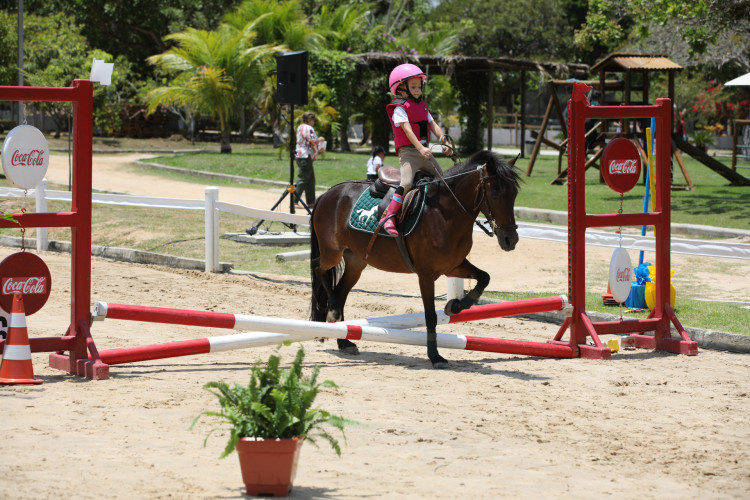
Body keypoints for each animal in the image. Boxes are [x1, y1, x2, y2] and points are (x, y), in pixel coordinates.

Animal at [308, 150, 520, 370]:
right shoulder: (426, 274)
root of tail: (328, 193)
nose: (510, 240)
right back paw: (333, 310)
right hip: (332, 253)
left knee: (340, 291)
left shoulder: (453, 266)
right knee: (318, 269)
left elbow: (484, 278)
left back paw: (344, 340)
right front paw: (435, 356)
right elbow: (431, 316)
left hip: (356, 262)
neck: (445, 213)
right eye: (494, 193)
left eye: (514, 194)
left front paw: (454, 306)